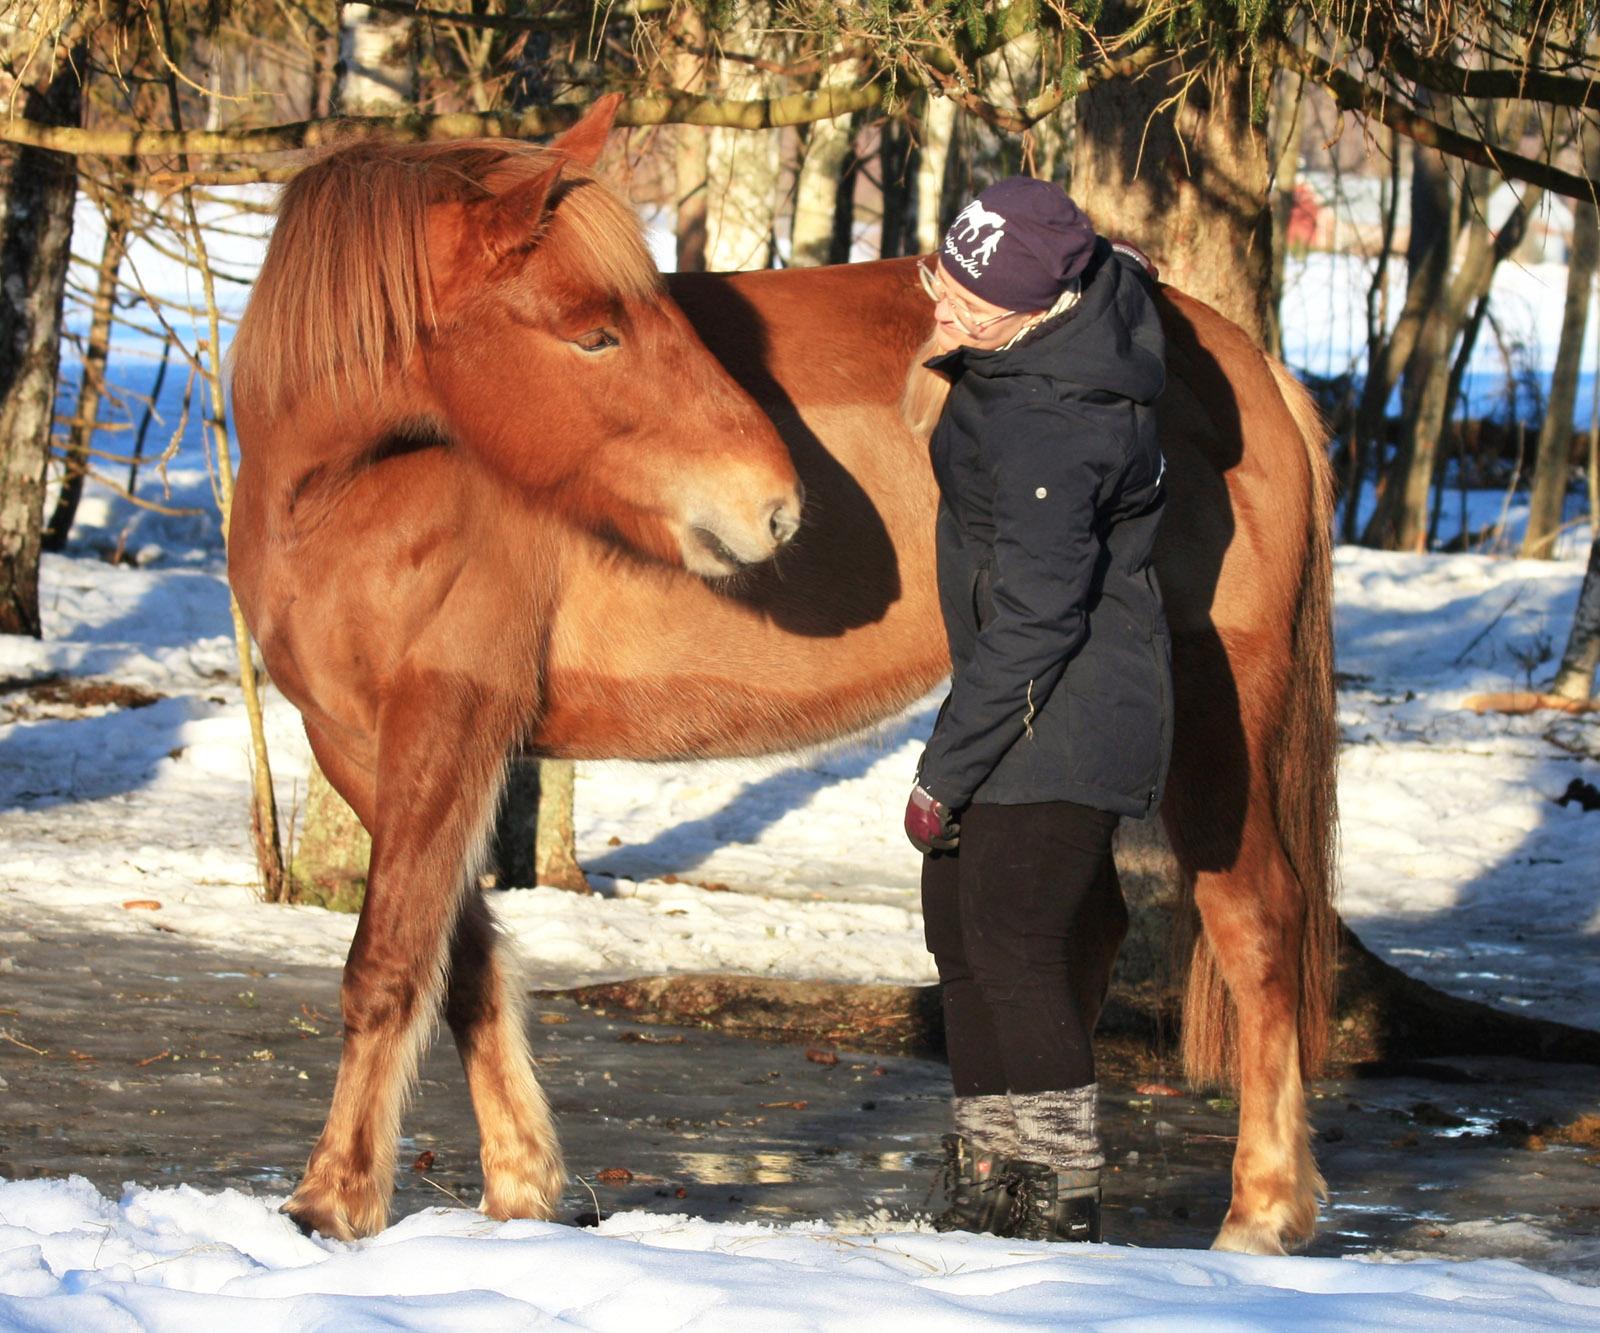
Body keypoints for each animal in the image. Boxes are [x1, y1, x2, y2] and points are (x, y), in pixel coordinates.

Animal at [228, 98, 1337, 1254]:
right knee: (1073, 937)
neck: (356, 487)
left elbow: (387, 964)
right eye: (595, 330)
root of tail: (1249, 366)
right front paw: (520, 1188)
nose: (774, 505)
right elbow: (464, 966)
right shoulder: (357, 745)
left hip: (1215, 714)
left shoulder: (448, 723)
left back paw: (1260, 1212)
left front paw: (330, 1200)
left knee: (1258, 926)